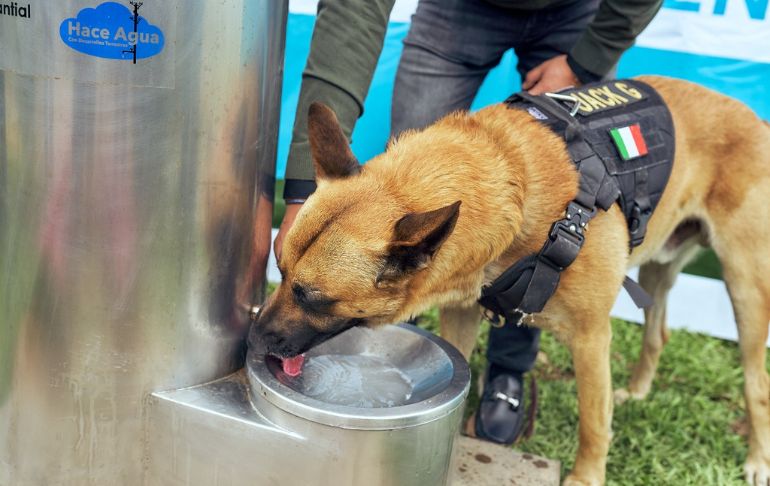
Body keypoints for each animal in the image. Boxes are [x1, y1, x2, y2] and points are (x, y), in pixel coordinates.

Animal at [252, 75, 768, 482]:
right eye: (281, 271)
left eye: (314, 298)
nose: (252, 339)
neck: (517, 192)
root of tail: (754, 118)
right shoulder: (461, 315)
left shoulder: (591, 337)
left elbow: (593, 422)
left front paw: (586, 477)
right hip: (661, 268)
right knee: (658, 332)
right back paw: (639, 391)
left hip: (746, 290)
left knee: (756, 382)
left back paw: (757, 460)